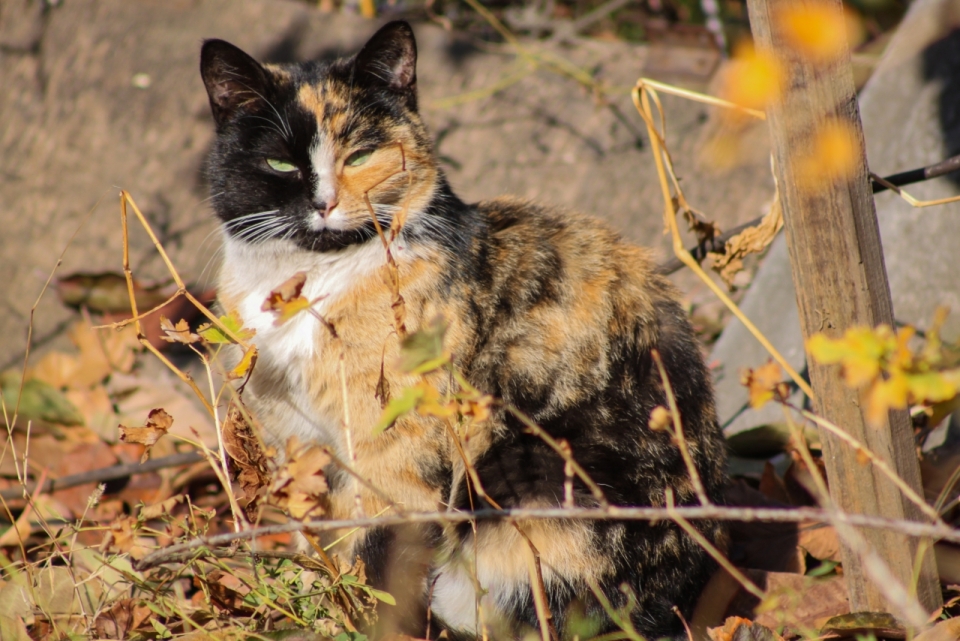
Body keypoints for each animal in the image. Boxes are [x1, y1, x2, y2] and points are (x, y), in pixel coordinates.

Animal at [201, 20, 728, 640]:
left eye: (361, 154)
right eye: (280, 165)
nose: (325, 203)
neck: (308, 283)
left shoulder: (398, 454)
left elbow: (376, 560)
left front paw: (357, 621)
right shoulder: (298, 443)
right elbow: (323, 545)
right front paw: (317, 609)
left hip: (541, 486)